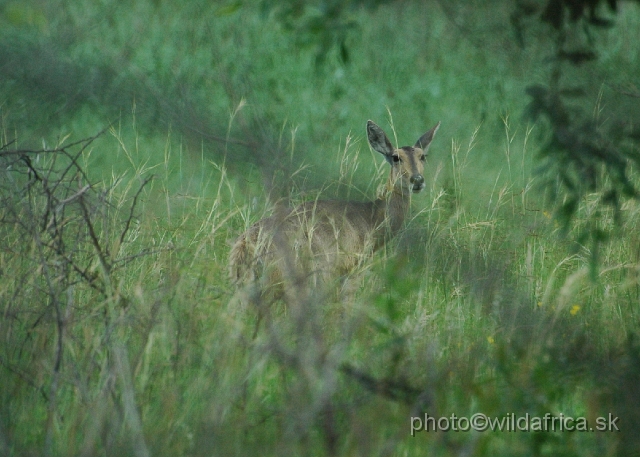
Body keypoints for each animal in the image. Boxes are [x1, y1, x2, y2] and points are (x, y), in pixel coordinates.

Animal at [229, 119, 440, 302]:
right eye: (396, 158)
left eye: (423, 156)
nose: (417, 180)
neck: (371, 221)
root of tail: (245, 245)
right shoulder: (352, 267)